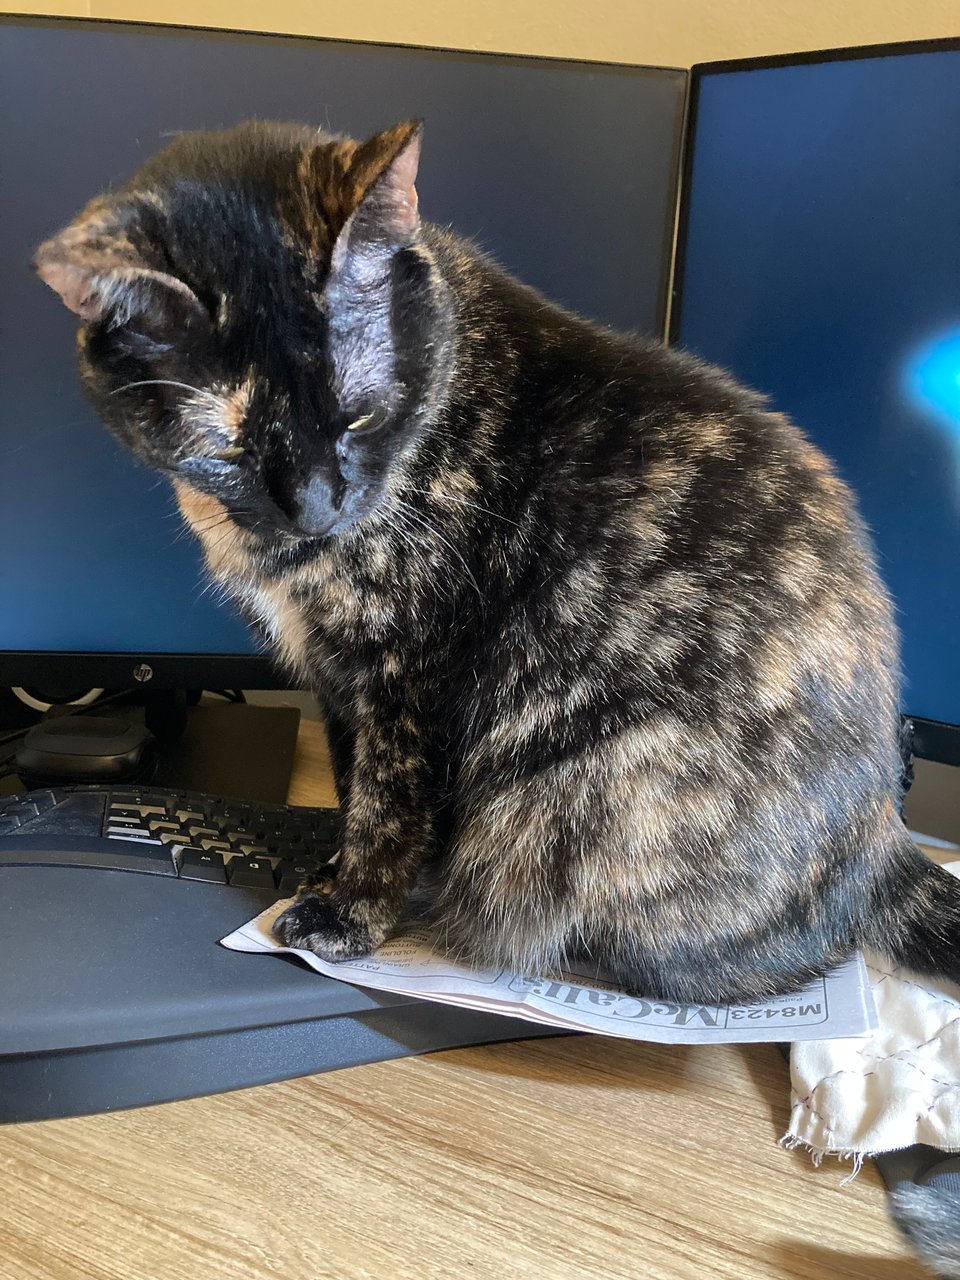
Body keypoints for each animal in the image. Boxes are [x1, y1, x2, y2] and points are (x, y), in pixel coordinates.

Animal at [35, 120, 960, 998]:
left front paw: (350, 911)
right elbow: (347, 778)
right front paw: (330, 870)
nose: (317, 509)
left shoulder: (406, 671)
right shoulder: (335, 676)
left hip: (595, 794)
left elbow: (385, 802)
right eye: (225, 450)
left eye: (360, 416)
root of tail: (886, 839)